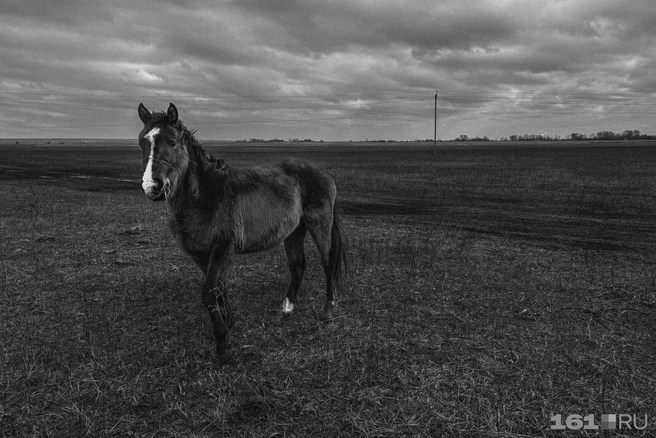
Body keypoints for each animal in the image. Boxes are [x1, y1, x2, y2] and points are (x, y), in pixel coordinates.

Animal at [137, 103, 347, 362]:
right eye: (142, 141)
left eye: (173, 141)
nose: (151, 186)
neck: (205, 196)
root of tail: (322, 174)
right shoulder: (201, 255)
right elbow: (219, 288)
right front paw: (229, 323)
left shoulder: (222, 250)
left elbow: (209, 292)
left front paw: (222, 345)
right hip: (294, 233)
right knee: (298, 266)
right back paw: (286, 310)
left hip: (319, 225)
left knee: (328, 264)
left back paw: (327, 312)